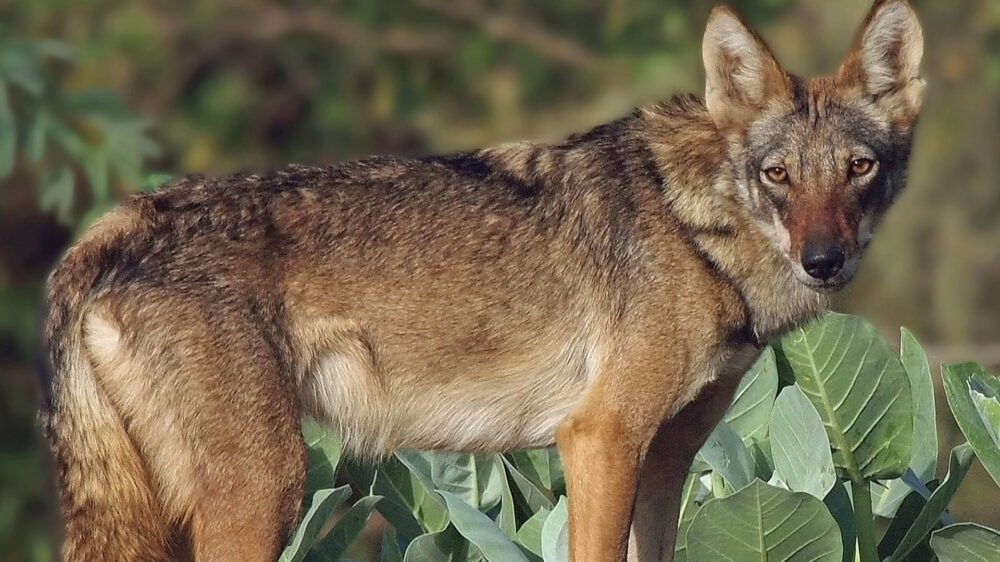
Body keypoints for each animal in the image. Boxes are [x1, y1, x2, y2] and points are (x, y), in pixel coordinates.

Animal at [41, 2, 920, 556]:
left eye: (858, 168)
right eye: (778, 175)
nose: (824, 261)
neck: (695, 226)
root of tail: (114, 226)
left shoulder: (668, 461)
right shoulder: (599, 438)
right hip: (266, 489)